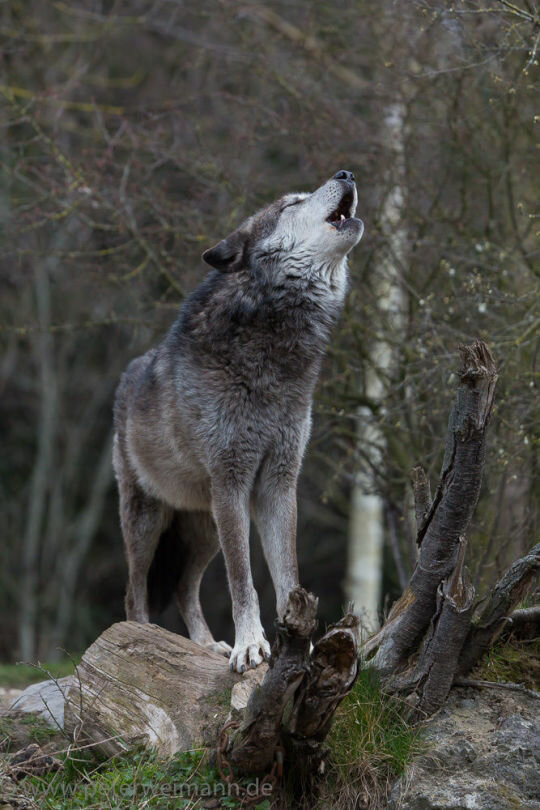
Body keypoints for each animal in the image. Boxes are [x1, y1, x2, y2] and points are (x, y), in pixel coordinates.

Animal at [113, 170, 364, 672]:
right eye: (291, 203)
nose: (346, 173)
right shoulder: (232, 481)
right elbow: (242, 580)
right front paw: (252, 646)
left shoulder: (277, 485)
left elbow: (287, 576)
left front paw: (300, 647)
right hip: (149, 523)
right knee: (135, 592)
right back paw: (145, 639)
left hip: (205, 527)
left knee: (184, 587)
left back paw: (206, 645)